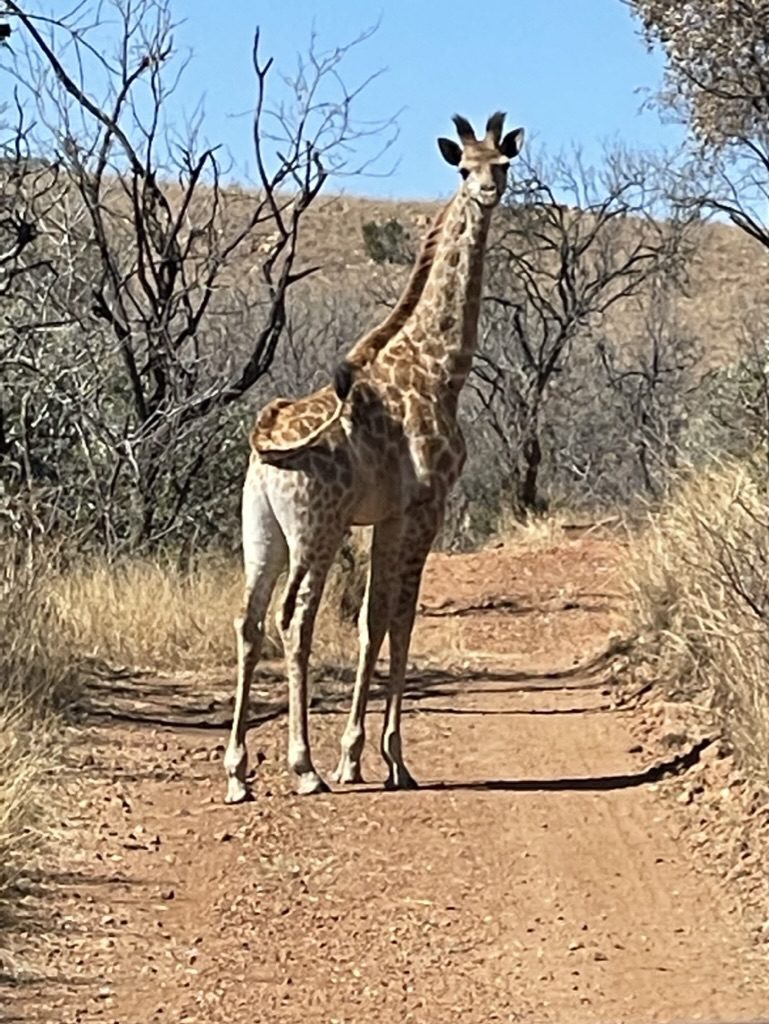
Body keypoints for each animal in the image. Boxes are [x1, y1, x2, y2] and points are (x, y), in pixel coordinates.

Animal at [222, 110, 524, 798]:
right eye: (464, 168)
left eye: (503, 163)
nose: (487, 192)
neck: (442, 368)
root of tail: (265, 440)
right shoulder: (424, 507)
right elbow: (402, 620)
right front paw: (392, 761)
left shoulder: (385, 515)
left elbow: (372, 621)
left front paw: (355, 756)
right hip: (317, 527)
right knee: (293, 620)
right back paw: (302, 768)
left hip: (262, 528)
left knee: (249, 621)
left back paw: (238, 773)